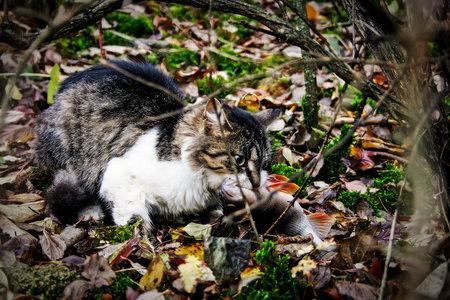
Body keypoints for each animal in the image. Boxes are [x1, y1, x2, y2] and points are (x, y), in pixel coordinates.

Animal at [34, 59, 282, 231]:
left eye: (264, 164)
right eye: (239, 160)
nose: (257, 185)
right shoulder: (117, 173)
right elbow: (134, 217)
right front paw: (142, 247)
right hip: (73, 160)